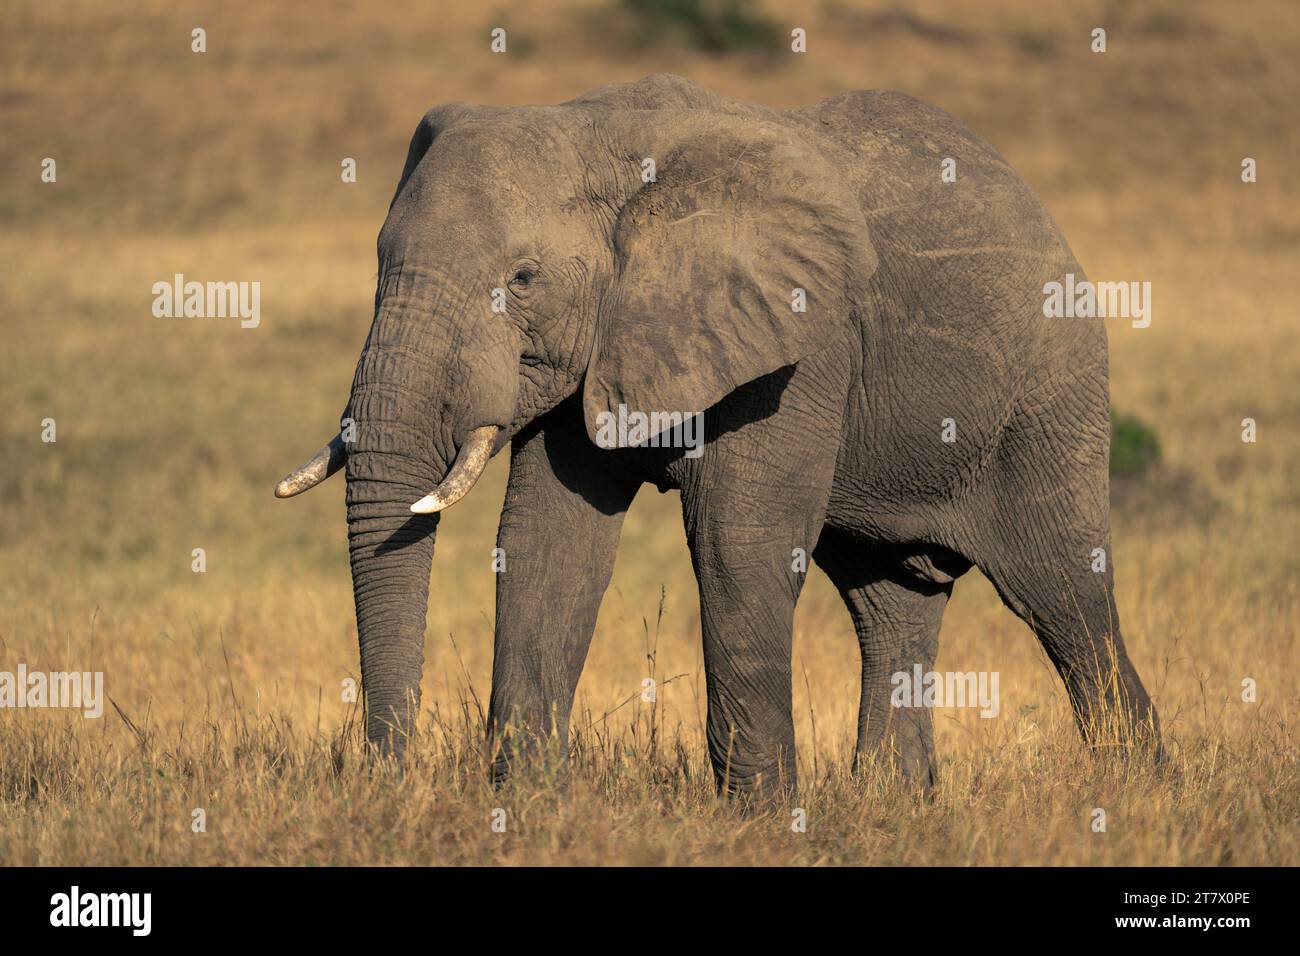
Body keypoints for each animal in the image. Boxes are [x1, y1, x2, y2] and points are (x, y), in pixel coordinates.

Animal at [276, 73, 1160, 795]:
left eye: (522, 278)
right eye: (379, 265)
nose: (391, 777)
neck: (599, 134)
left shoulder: (801, 343)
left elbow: (741, 543)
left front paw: (764, 819)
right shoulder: (603, 342)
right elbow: (546, 544)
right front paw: (522, 803)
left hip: (1049, 403)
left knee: (1064, 595)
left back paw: (1131, 791)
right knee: (891, 606)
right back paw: (894, 802)